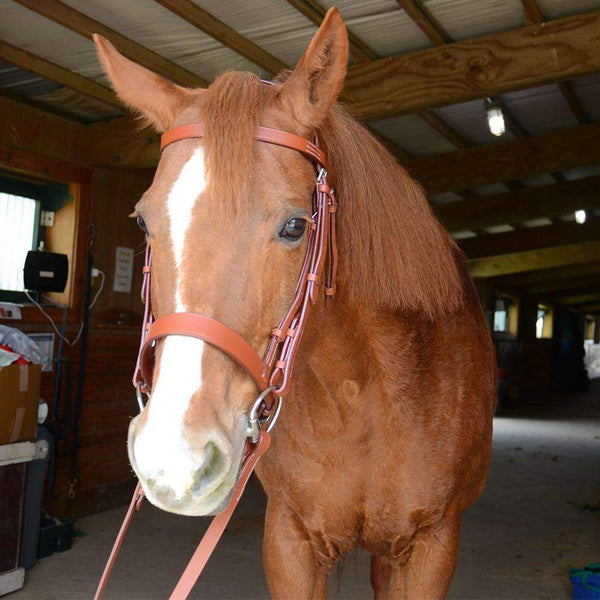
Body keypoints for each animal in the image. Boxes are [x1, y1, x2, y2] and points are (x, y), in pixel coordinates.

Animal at [94, 9, 494, 600]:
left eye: (294, 226)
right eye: (143, 221)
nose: (175, 460)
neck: (364, 392)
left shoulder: (431, 547)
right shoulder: (290, 541)